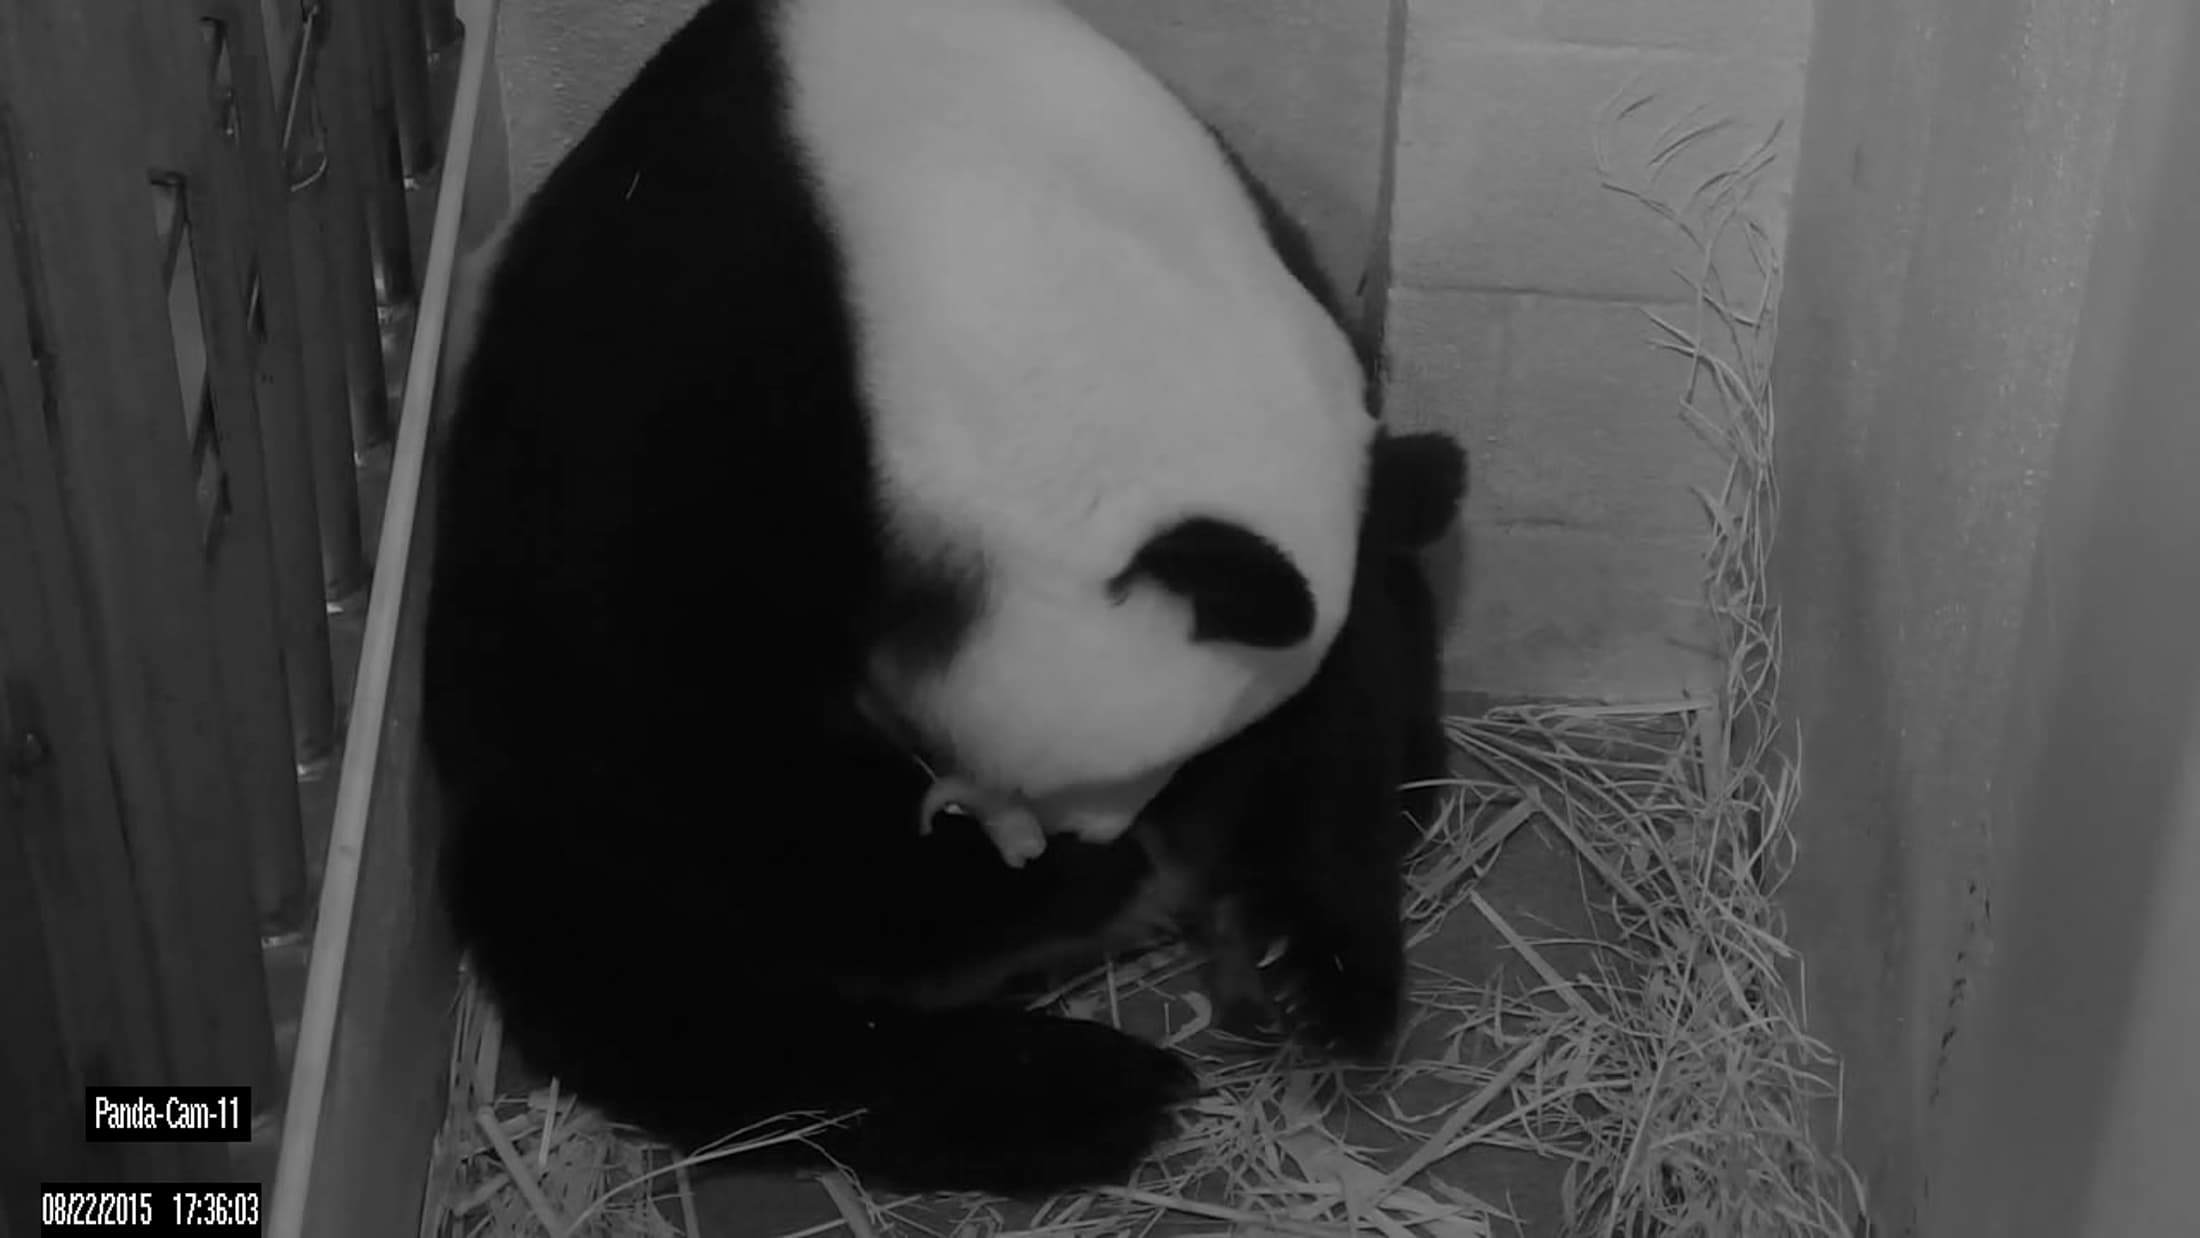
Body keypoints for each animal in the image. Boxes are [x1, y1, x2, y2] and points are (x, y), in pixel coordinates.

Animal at [422, 0, 1415, 1199]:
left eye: (1181, 765)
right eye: (1108, 774)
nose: (1115, 838)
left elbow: (1354, 674)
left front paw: (1312, 955)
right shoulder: (699, 378)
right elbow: (639, 730)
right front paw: (1048, 890)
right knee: (652, 983)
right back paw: (1068, 1093)